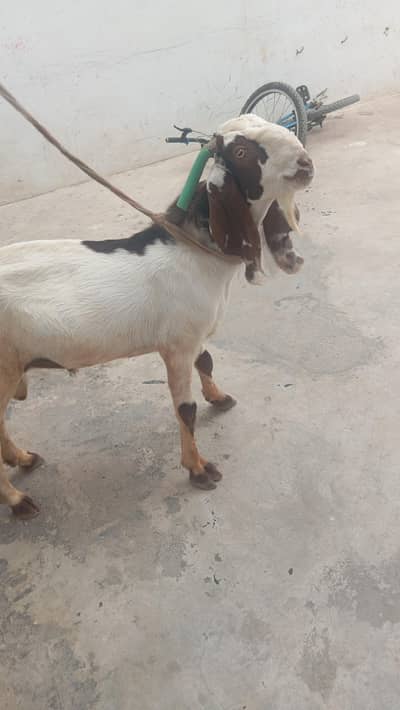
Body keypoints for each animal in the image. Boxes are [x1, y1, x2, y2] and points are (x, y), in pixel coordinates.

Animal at [0, 114, 314, 519]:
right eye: (242, 151)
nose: (305, 163)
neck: (193, 251)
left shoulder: (192, 335)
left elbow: (207, 362)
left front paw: (220, 398)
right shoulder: (176, 346)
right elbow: (186, 409)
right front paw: (198, 469)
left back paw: (23, 459)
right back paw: (18, 500)